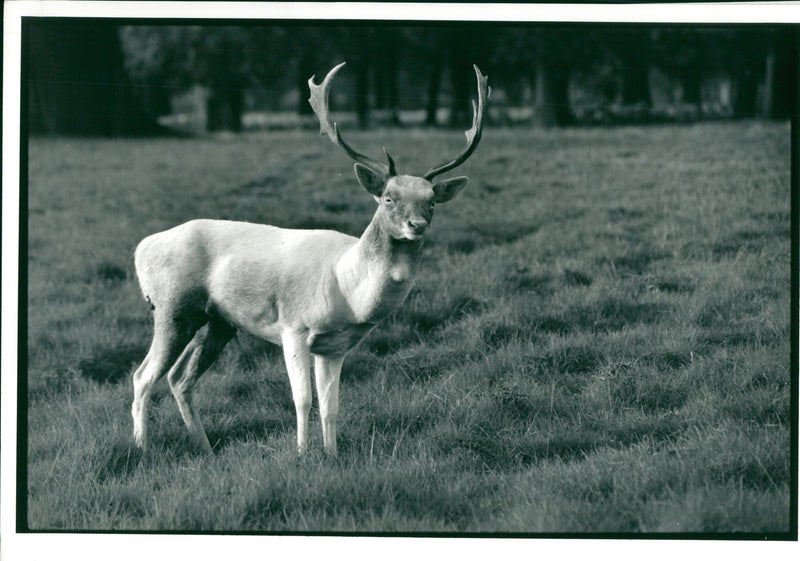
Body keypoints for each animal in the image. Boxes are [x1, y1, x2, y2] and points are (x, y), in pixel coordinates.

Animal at [130, 62, 488, 456]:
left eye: (432, 201)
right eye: (388, 198)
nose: (417, 225)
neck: (346, 290)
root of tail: (141, 248)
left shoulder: (335, 346)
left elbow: (331, 405)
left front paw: (332, 454)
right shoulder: (294, 326)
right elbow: (302, 399)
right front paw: (302, 454)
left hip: (217, 321)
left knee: (179, 378)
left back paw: (205, 449)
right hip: (171, 307)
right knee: (142, 375)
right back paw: (142, 447)